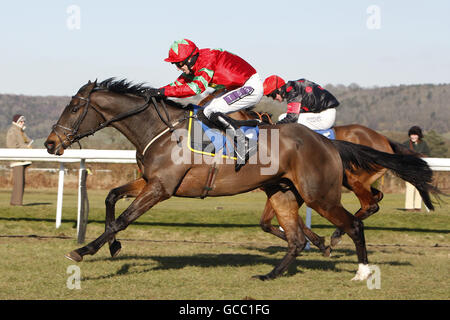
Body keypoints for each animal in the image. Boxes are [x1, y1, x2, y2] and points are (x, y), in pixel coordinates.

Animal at [232, 110, 440, 252]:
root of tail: (384, 139)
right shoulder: (281, 186)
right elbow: (267, 222)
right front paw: (313, 242)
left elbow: (288, 219)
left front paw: (317, 243)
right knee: (377, 197)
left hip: (354, 178)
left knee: (370, 205)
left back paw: (338, 233)